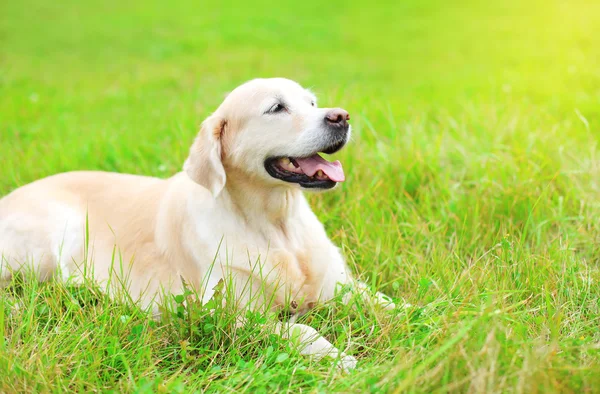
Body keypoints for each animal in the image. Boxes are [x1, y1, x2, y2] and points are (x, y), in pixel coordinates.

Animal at [0, 78, 394, 370]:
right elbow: (301, 330)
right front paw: (339, 357)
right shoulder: (229, 313)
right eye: (276, 108)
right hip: (52, 235)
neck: (277, 225)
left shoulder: (341, 285)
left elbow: (386, 302)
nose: (341, 116)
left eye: (311, 103)